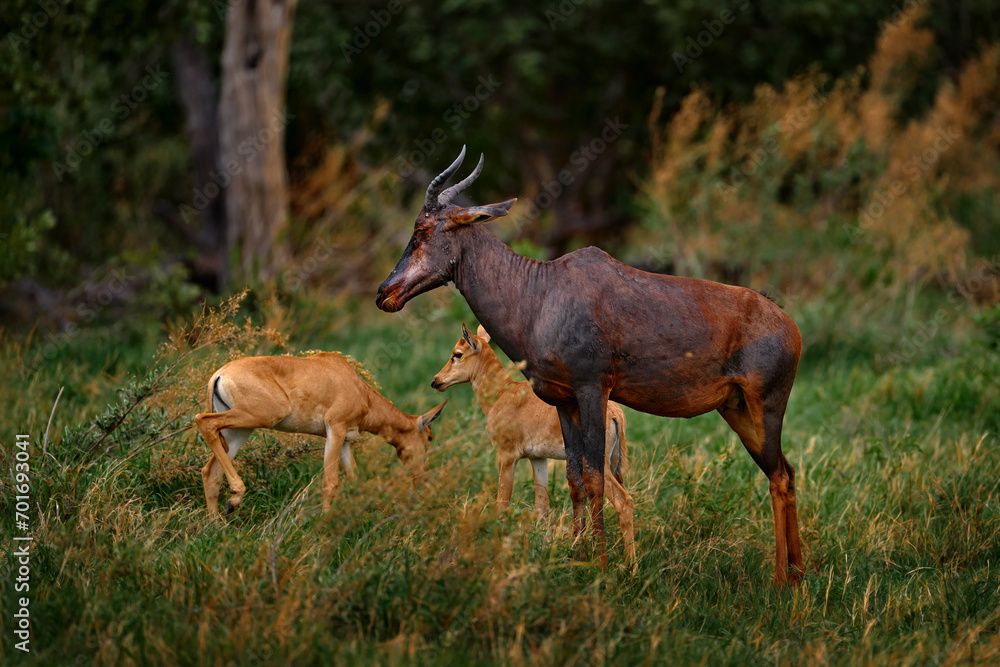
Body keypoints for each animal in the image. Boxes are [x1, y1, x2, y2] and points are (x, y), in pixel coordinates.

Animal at [194, 353, 447, 516]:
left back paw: (218, 521)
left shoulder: (345, 441)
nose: (422, 478)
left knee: (210, 471)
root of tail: (218, 374)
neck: (355, 385)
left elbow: (355, 480)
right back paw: (236, 496)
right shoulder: (335, 429)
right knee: (203, 421)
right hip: (257, 416)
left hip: (239, 432)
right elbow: (330, 482)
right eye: (429, 438)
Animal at [432, 324, 636, 561]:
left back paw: (629, 565)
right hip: (615, 465)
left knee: (623, 501)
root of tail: (615, 414)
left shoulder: (506, 456)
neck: (503, 393)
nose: (436, 381)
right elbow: (542, 508)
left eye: (457, 354)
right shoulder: (538, 459)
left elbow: (501, 503)